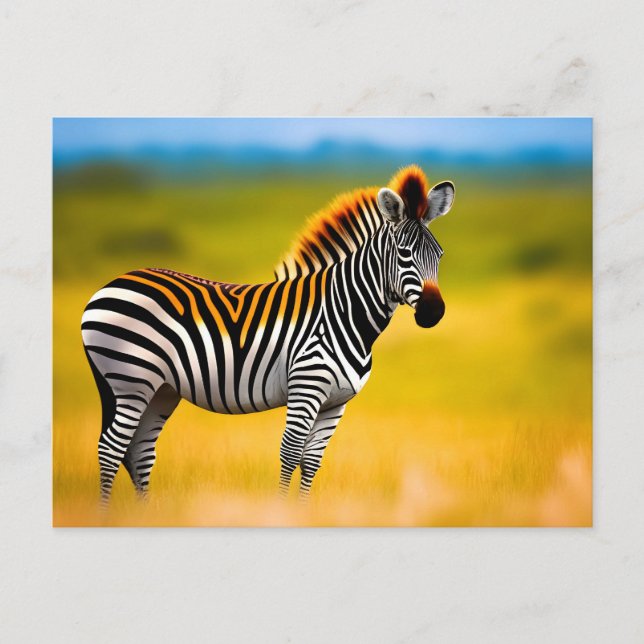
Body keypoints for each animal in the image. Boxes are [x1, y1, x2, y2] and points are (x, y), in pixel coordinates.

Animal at [81, 165, 455, 506]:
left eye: (439, 255)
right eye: (404, 254)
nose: (433, 312)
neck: (342, 311)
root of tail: (111, 284)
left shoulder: (336, 403)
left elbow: (312, 461)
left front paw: (303, 513)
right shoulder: (306, 388)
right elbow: (290, 452)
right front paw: (281, 511)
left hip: (161, 389)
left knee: (139, 451)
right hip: (131, 379)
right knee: (111, 448)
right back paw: (107, 517)